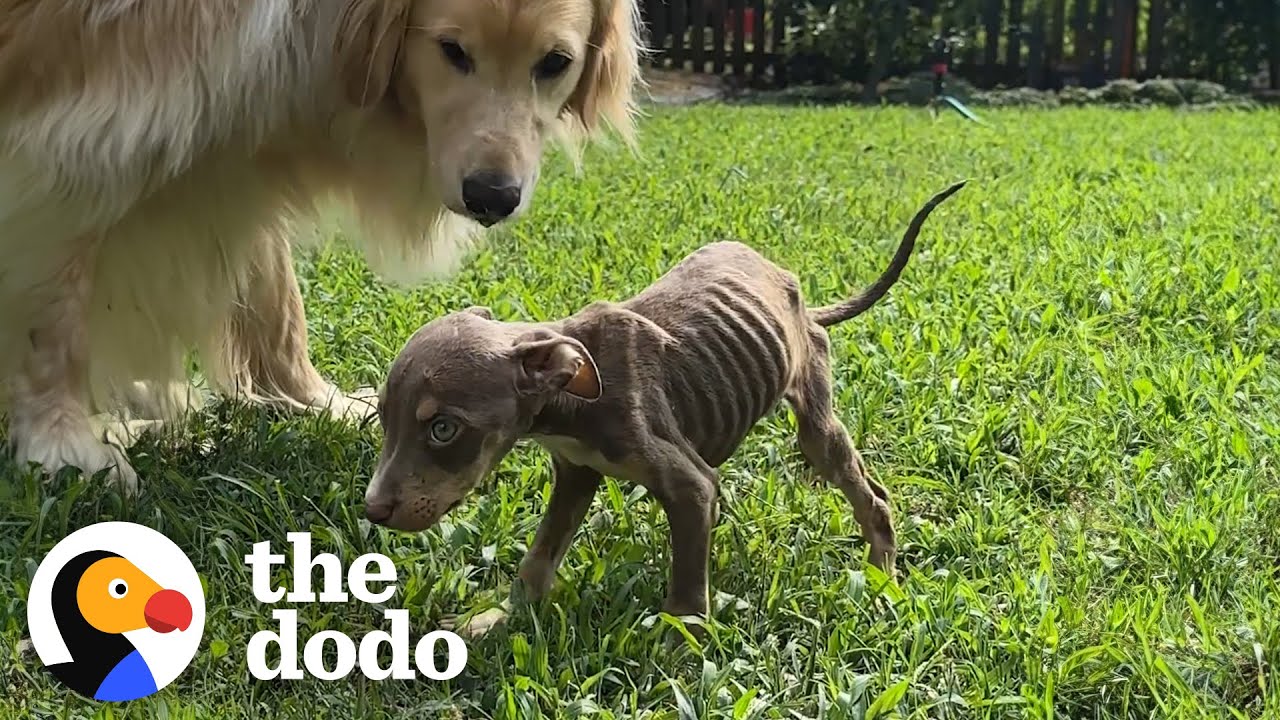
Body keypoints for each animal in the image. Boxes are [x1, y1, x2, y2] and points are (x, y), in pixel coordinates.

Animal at [366, 181, 962, 630]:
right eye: (381, 419)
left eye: (444, 429)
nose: (372, 511)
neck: (572, 396)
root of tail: (796, 292)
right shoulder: (576, 473)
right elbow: (539, 557)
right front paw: (500, 618)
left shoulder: (690, 487)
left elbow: (688, 591)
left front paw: (680, 650)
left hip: (815, 412)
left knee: (869, 494)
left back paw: (883, 576)